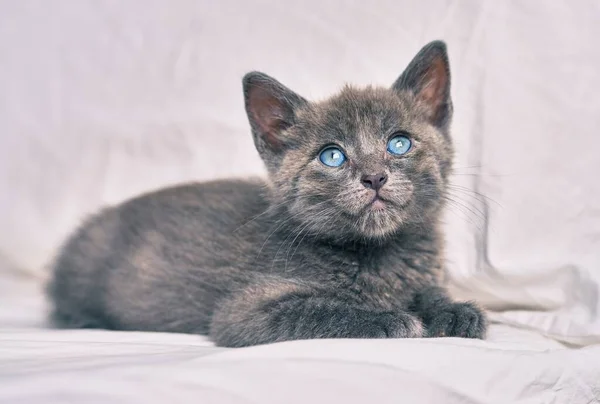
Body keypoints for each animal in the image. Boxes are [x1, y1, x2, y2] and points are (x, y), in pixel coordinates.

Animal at [48, 41, 488, 348]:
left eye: (399, 143)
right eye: (332, 156)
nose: (374, 177)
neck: (378, 253)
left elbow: (430, 292)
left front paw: (453, 310)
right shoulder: (244, 311)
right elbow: (323, 311)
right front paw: (389, 318)